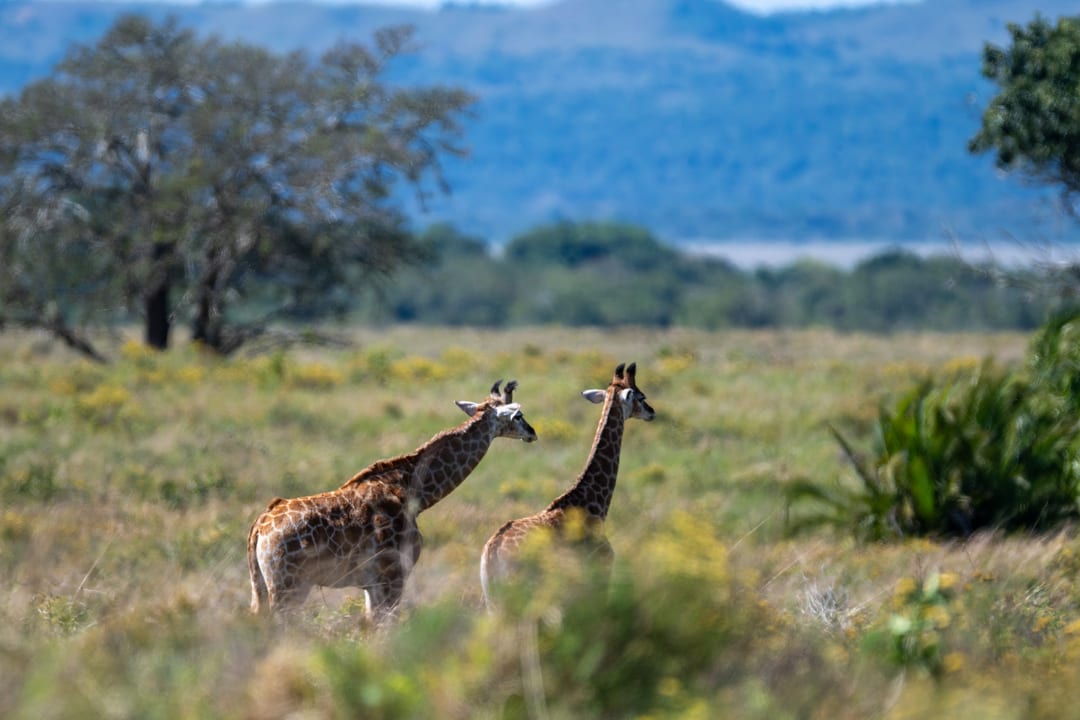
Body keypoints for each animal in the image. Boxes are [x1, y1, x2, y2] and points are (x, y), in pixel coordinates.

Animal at [248, 379, 537, 622]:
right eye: (519, 415)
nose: (533, 433)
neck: (413, 493)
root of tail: (259, 527)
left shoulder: (373, 584)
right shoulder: (393, 576)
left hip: (260, 586)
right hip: (288, 586)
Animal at [480, 362, 655, 606]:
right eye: (641, 396)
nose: (652, 412)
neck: (593, 503)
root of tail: (491, 555)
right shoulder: (601, 571)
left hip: (492, 600)